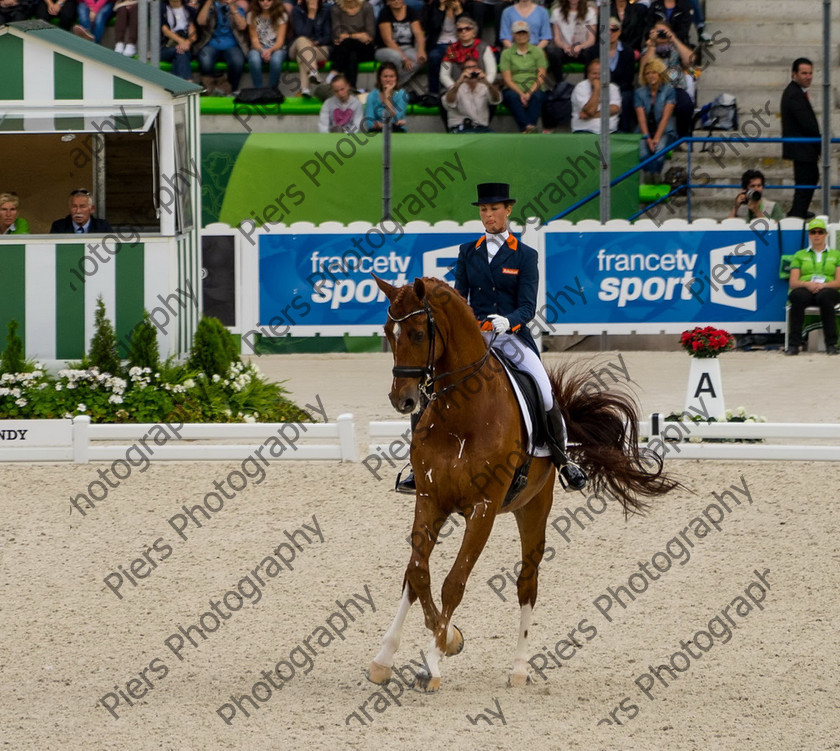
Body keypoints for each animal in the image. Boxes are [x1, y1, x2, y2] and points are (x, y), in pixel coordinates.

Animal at [368, 276, 676, 692]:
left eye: (418, 333)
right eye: (388, 332)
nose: (401, 399)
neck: (461, 412)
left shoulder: (482, 510)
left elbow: (453, 583)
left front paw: (435, 658)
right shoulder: (430, 499)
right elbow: (416, 575)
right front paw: (414, 650)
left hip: (534, 506)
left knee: (527, 583)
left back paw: (518, 669)